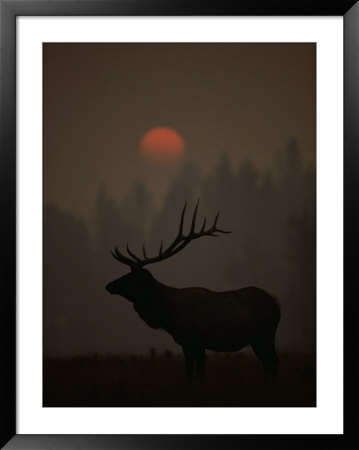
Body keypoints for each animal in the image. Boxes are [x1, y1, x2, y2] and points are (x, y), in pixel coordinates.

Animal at [106, 201, 282, 384]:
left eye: (132, 277)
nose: (109, 285)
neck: (169, 315)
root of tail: (276, 302)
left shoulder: (198, 340)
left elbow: (200, 371)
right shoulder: (186, 343)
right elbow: (189, 372)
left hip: (265, 334)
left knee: (273, 361)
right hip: (257, 339)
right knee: (267, 363)